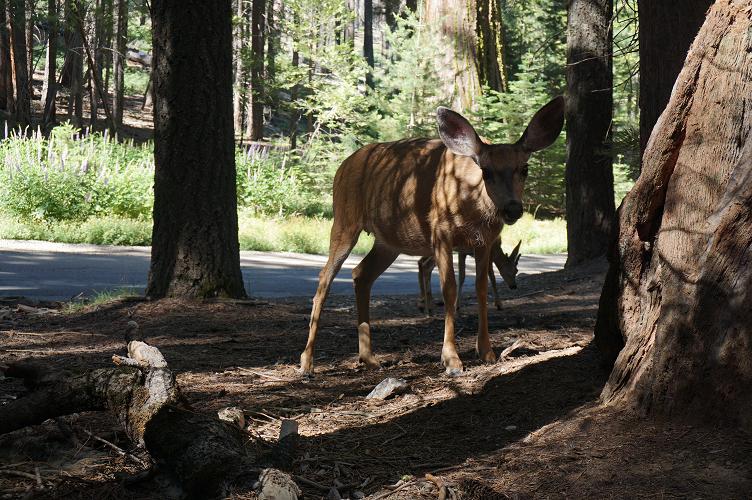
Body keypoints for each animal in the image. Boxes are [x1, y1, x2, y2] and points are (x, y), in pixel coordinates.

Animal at [300, 96, 564, 376]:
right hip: (344, 220)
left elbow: (481, 289)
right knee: (324, 279)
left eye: (524, 168)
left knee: (361, 274)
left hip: (388, 242)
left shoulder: (484, 242)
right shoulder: (441, 232)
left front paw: (487, 352)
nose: (512, 208)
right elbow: (449, 288)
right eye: (486, 171)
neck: (472, 206)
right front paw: (451, 359)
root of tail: (342, 166)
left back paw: (369, 358)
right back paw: (307, 363)